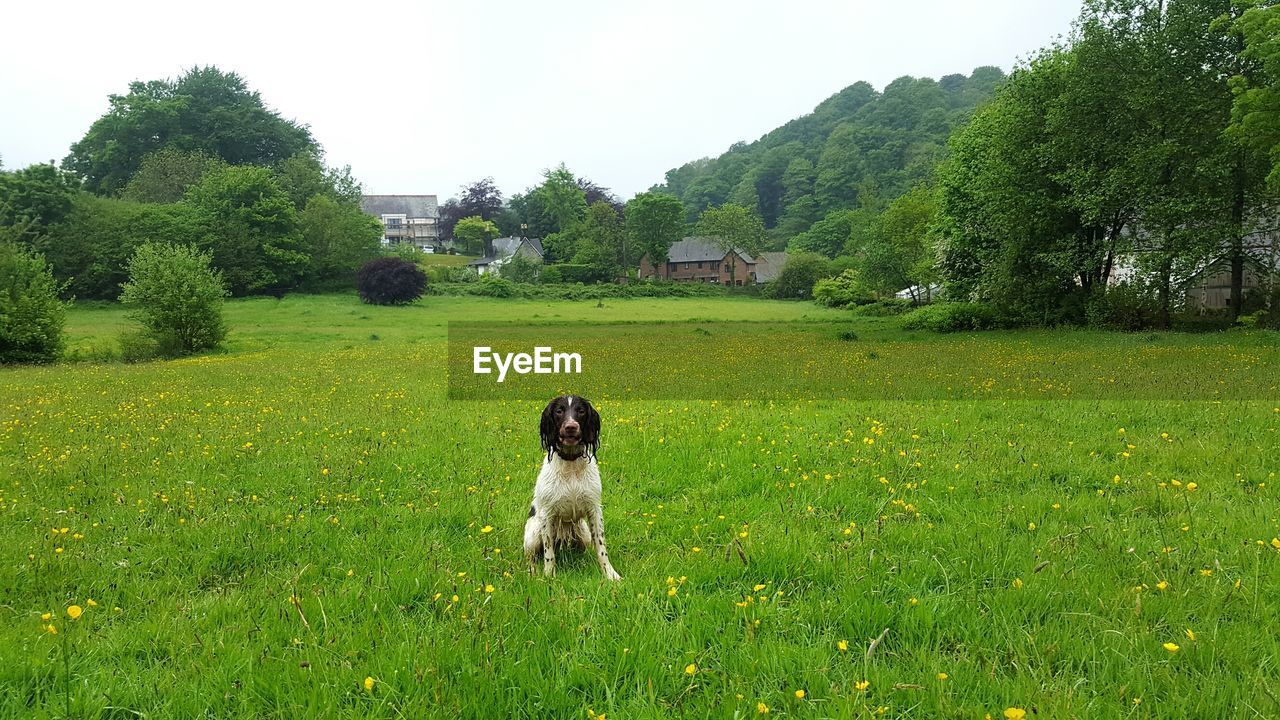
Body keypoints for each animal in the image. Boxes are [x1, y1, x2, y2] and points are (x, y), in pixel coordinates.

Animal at [519, 392, 619, 576]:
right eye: (559, 411)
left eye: (581, 411)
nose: (571, 427)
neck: (571, 464)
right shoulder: (547, 515)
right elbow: (549, 553)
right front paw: (549, 576)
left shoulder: (594, 510)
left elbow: (601, 548)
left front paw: (610, 574)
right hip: (533, 534)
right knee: (531, 557)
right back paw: (532, 572)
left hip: (584, 533)